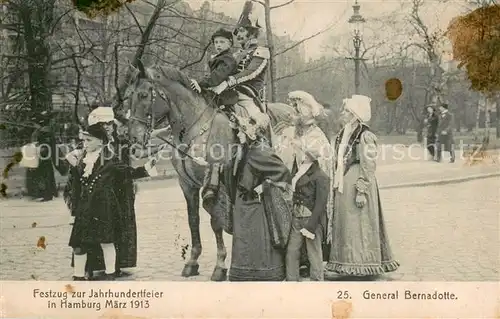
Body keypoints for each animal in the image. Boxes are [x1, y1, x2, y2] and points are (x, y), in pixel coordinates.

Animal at [117, 60, 296, 282]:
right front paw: (192, 261)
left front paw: (220, 265)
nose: (132, 138)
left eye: (143, 95)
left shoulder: (213, 182)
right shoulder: (187, 185)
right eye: (128, 96)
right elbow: (193, 220)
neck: (193, 128)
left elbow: (215, 221)